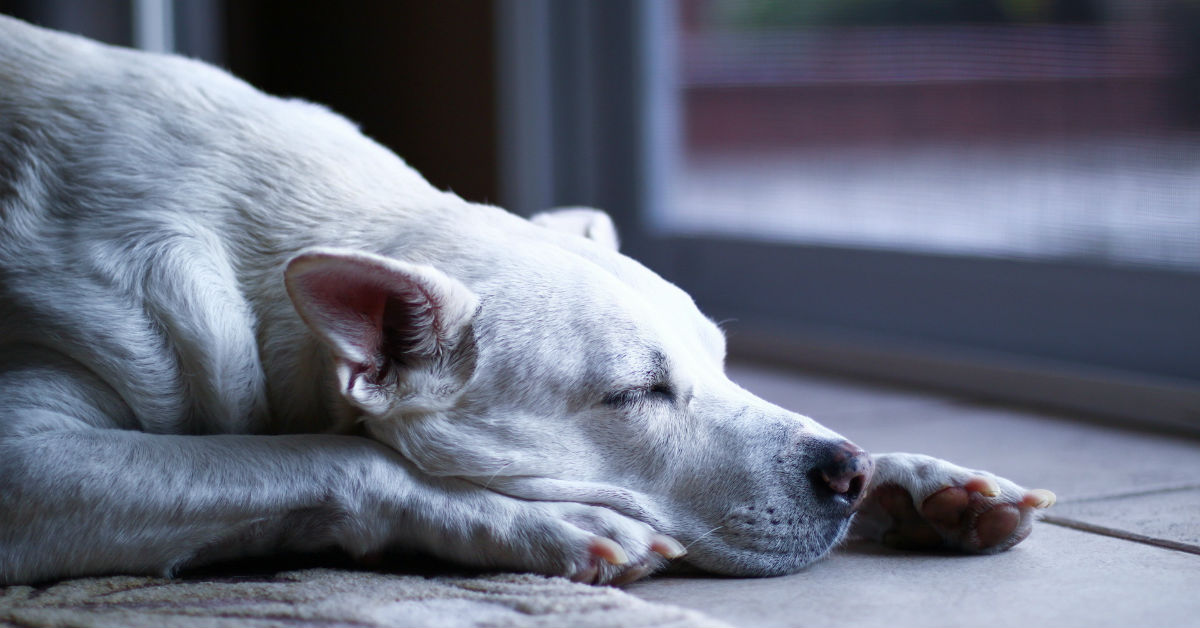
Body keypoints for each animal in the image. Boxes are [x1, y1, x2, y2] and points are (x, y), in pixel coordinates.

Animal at [0, 17, 1051, 588]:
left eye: (722, 362)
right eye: (634, 395)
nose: (847, 471)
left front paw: (919, 480)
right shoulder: (31, 460)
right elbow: (317, 457)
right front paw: (531, 527)